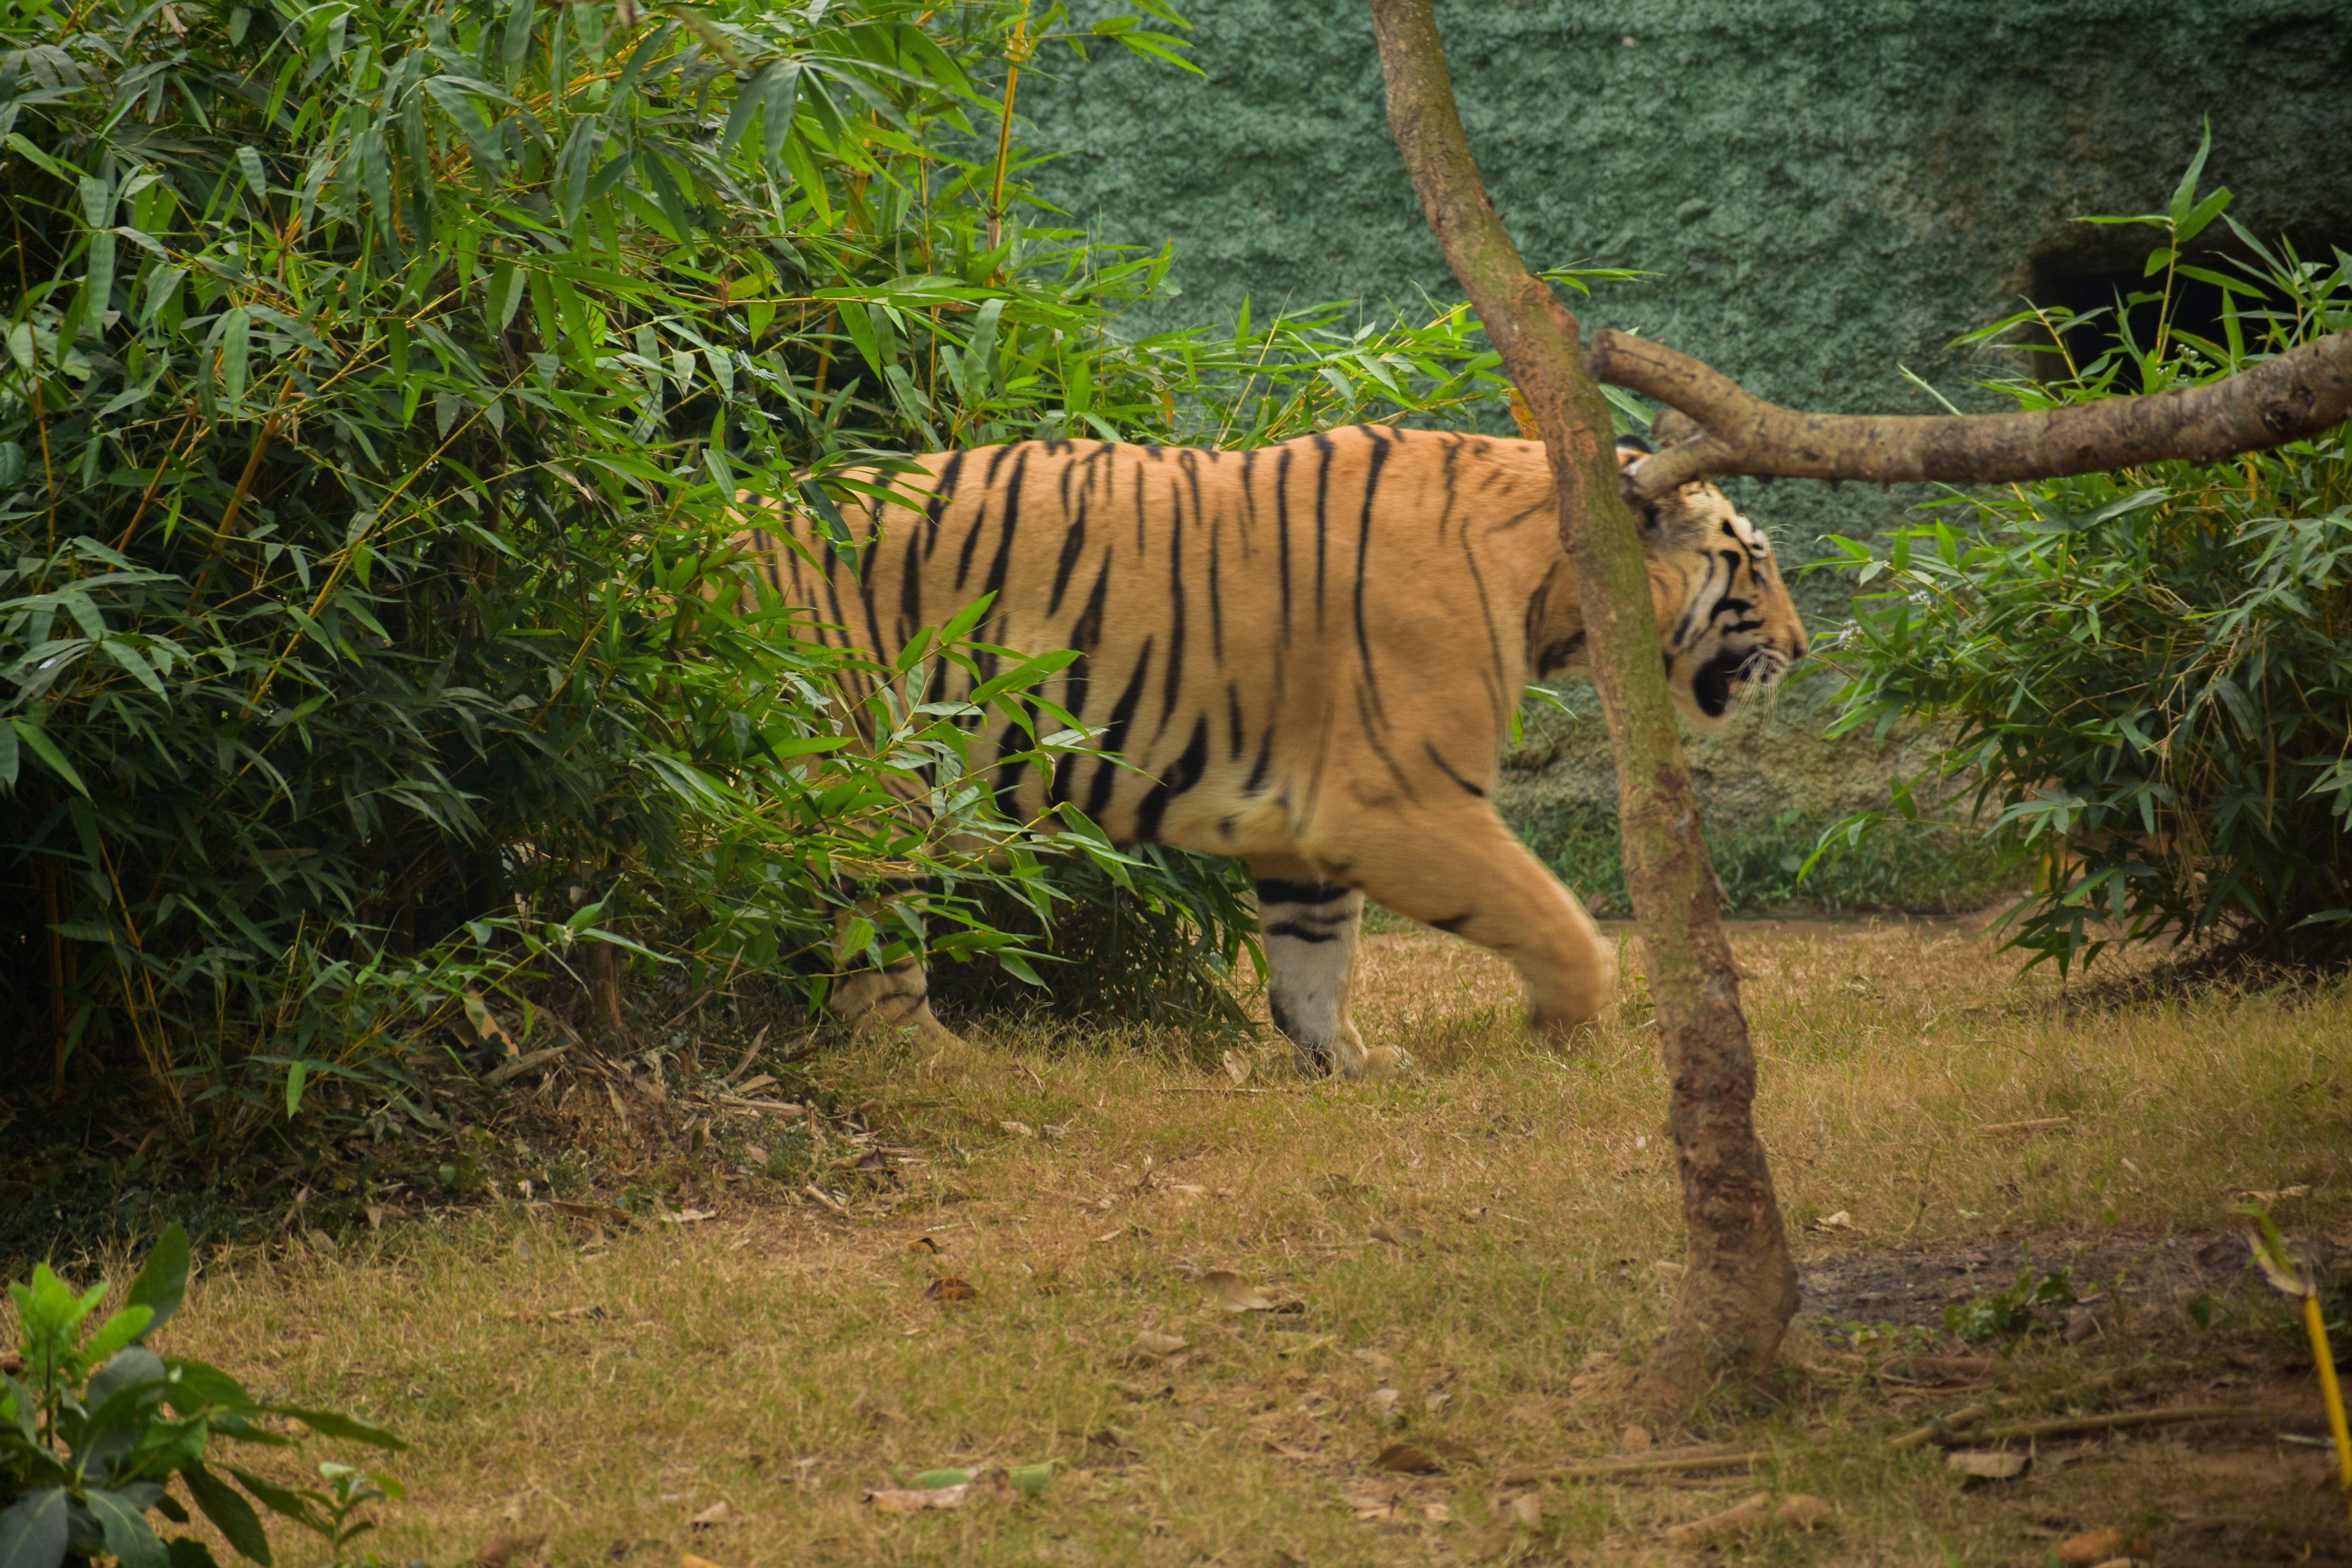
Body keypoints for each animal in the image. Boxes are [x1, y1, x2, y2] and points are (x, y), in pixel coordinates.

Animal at [738, 421, 1808, 1076]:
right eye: (1753, 560)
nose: (1801, 649)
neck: (1551, 588)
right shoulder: (1397, 801)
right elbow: (1551, 916)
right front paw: (1574, 1032)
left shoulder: (1307, 833)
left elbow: (1313, 962)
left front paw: (1349, 1064)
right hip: (869, 774)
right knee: (871, 967)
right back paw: (961, 1064)